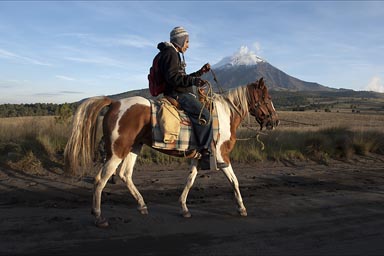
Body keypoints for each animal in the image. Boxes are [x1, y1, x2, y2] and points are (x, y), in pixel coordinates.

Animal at [63, 77, 280, 227]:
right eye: (267, 97)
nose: (275, 121)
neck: (226, 114)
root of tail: (115, 102)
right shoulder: (221, 156)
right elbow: (234, 181)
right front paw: (242, 208)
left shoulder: (199, 156)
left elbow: (190, 180)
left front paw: (184, 208)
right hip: (117, 150)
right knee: (101, 179)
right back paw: (99, 217)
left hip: (134, 147)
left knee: (125, 174)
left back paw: (142, 205)